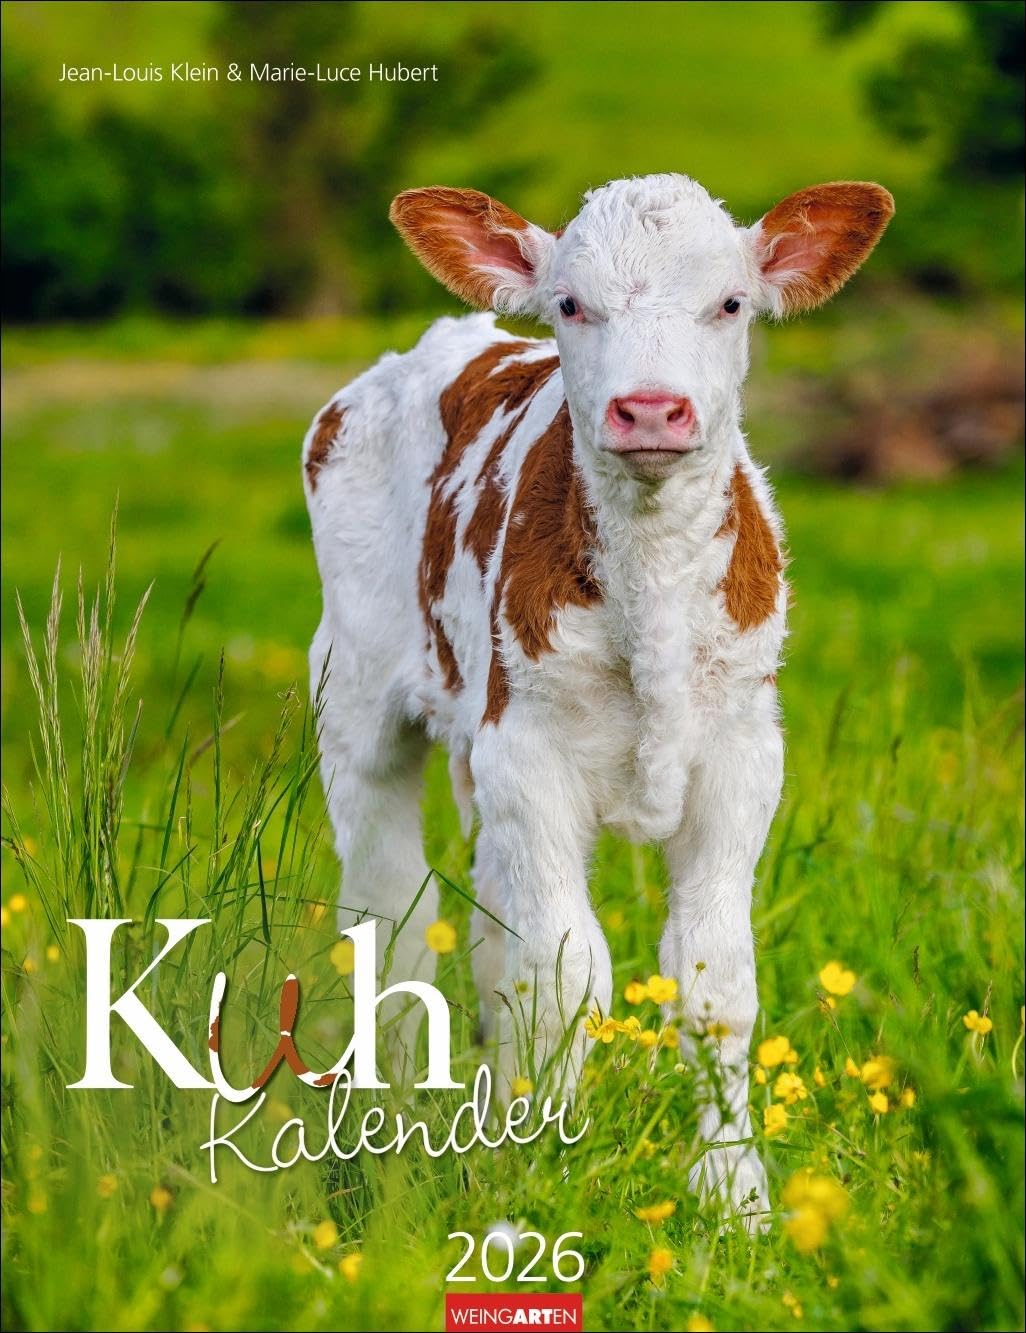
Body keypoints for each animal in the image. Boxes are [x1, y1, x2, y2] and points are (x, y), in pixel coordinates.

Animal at [302, 173, 893, 1226]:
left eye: (730, 303)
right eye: (573, 304)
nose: (649, 409)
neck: (651, 597)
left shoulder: (742, 756)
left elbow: (713, 980)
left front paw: (736, 1193)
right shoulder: (526, 752)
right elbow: (567, 973)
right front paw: (541, 1171)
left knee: (488, 937)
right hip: (356, 699)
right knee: (393, 925)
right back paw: (393, 1128)